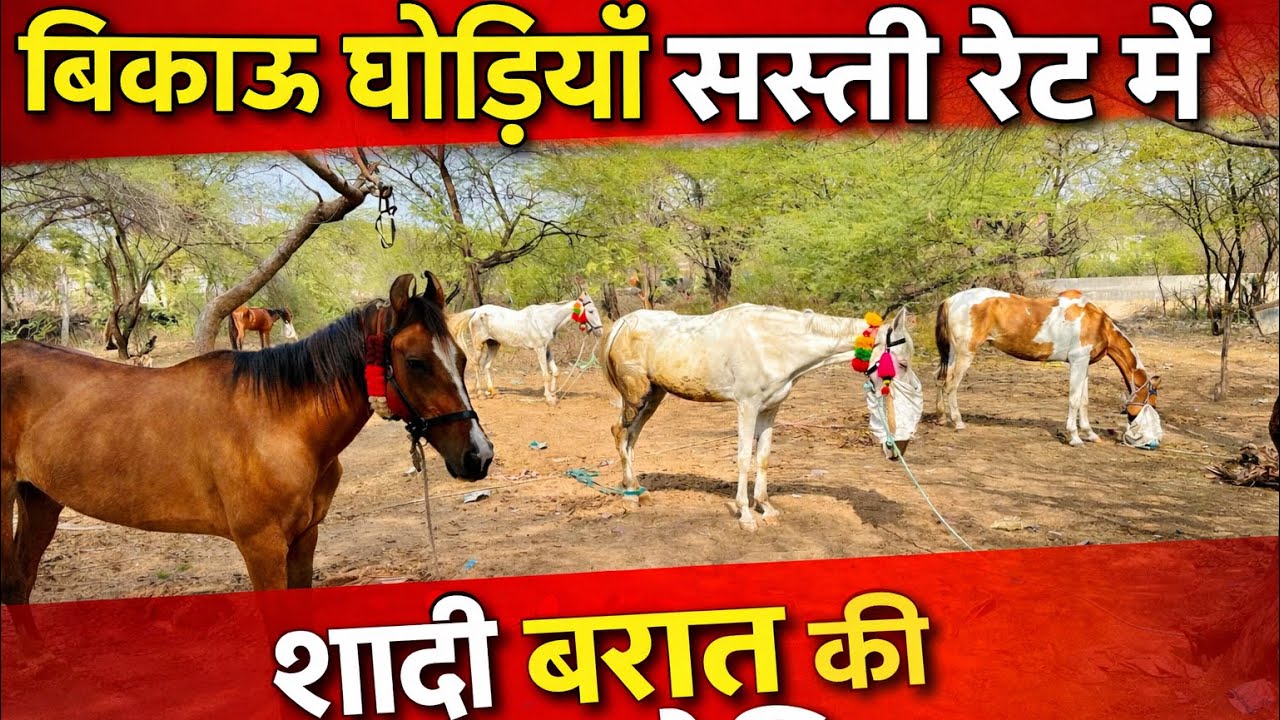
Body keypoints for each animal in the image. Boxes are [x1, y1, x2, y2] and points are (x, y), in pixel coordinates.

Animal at [1, 272, 493, 603]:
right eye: (415, 362)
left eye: (461, 357)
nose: (479, 455)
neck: (278, 423)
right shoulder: (261, 546)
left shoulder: (304, 538)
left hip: (41, 499)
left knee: (21, 581)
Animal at [451, 293, 605, 405]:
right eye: (591, 311)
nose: (600, 332)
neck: (546, 320)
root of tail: (476, 311)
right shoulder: (539, 349)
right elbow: (546, 374)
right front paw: (549, 398)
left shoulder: (547, 348)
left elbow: (555, 371)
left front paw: (554, 393)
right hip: (479, 345)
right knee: (476, 365)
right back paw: (480, 393)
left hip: (494, 344)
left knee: (486, 366)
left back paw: (493, 392)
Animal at [605, 304, 911, 532]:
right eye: (903, 362)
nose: (899, 447)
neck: (772, 342)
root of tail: (620, 325)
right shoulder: (747, 406)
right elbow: (743, 458)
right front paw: (745, 515)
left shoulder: (769, 409)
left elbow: (762, 456)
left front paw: (766, 508)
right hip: (636, 396)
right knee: (620, 433)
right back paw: (631, 497)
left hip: (653, 396)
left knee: (631, 437)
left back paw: (637, 490)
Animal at [935, 288, 1161, 446]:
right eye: (1152, 402)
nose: (1138, 431)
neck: (1096, 323)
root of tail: (951, 300)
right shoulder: (1078, 362)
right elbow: (1074, 400)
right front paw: (1074, 437)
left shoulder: (1085, 365)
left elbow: (1084, 401)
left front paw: (1090, 434)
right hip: (966, 355)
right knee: (951, 385)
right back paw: (958, 422)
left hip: (953, 354)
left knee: (941, 379)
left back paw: (942, 418)